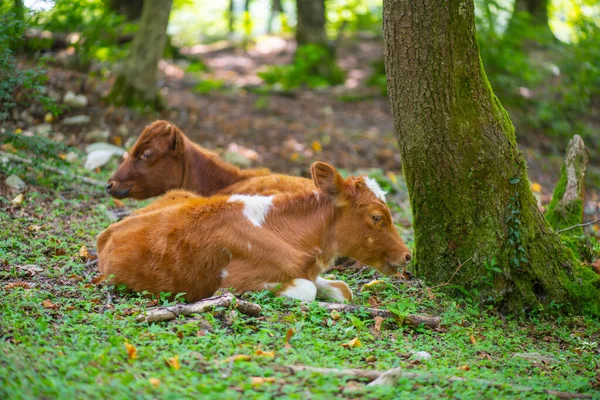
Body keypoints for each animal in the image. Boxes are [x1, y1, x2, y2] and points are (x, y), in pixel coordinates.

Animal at [97, 161, 412, 302]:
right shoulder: (234, 284)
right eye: (377, 217)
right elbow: (308, 290)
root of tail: (108, 231)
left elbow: (343, 289)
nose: (408, 255)